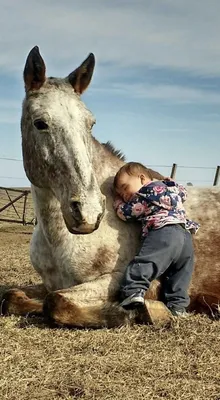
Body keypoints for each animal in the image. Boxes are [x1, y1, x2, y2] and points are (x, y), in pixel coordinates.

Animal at [1, 47, 220, 328]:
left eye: (90, 124)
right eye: (40, 123)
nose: (88, 213)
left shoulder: (127, 281)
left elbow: (56, 302)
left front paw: (136, 312)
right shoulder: (52, 283)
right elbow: (12, 297)